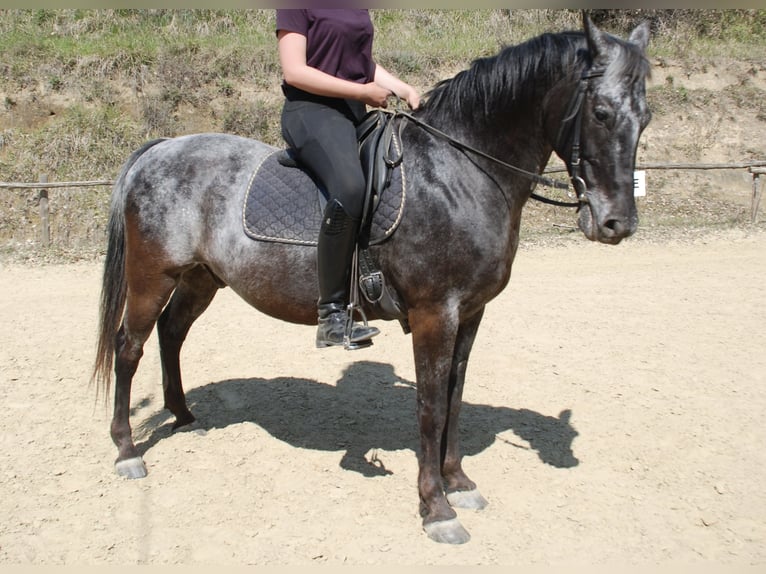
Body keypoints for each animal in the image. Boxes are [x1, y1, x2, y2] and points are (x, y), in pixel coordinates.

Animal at [91, 12, 656, 544]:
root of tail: (162, 149)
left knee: (171, 334)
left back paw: (183, 414)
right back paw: (127, 450)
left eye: (645, 117)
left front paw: (459, 483)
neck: (460, 172)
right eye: (601, 113)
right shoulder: (434, 314)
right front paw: (436, 509)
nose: (617, 224)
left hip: (200, 278)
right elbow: (430, 405)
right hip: (152, 277)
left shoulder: (471, 313)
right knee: (129, 346)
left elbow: (455, 397)